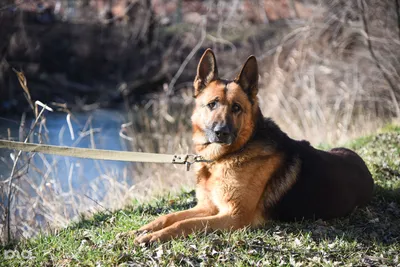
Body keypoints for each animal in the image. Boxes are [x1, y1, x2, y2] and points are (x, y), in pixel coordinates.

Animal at [134, 49, 376, 244]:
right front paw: (143, 230)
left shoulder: (234, 216)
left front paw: (154, 237)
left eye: (236, 108)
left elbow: (184, 224)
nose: (221, 132)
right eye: (212, 104)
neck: (226, 157)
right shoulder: (207, 207)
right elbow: (169, 216)